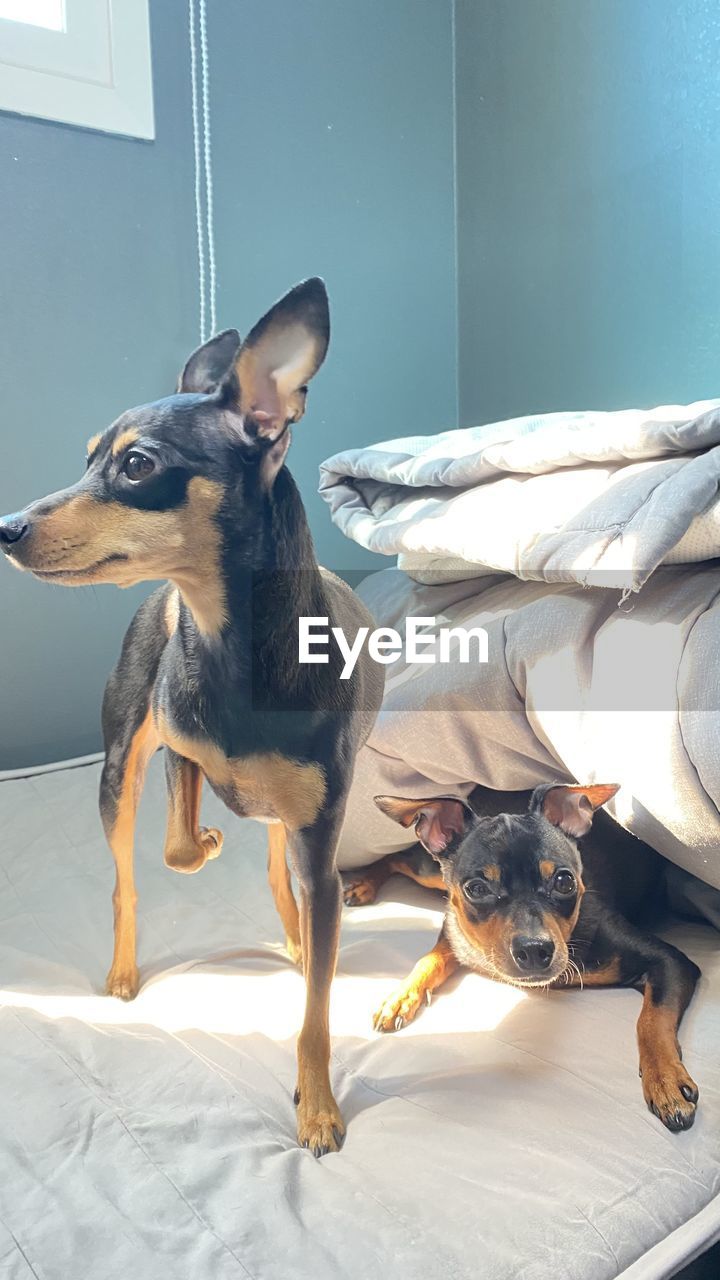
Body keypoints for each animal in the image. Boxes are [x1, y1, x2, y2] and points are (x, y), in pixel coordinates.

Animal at [0, 280, 384, 1162]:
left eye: (137, 465)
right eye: (86, 457)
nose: (5, 528)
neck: (228, 637)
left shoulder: (322, 847)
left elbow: (316, 1009)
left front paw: (317, 1107)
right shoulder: (176, 750)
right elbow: (176, 849)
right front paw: (205, 838)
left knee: (280, 875)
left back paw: (291, 934)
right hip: (118, 772)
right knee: (128, 881)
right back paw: (124, 969)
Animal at [345, 783, 696, 1136]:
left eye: (565, 881)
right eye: (476, 889)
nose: (535, 949)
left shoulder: (671, 961)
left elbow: (651, 1020)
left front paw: (666, 1082)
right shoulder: (453, 930)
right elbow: (430, 959)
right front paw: (400, 998)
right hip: (430, 872)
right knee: (396, 857)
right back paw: (362, 884)